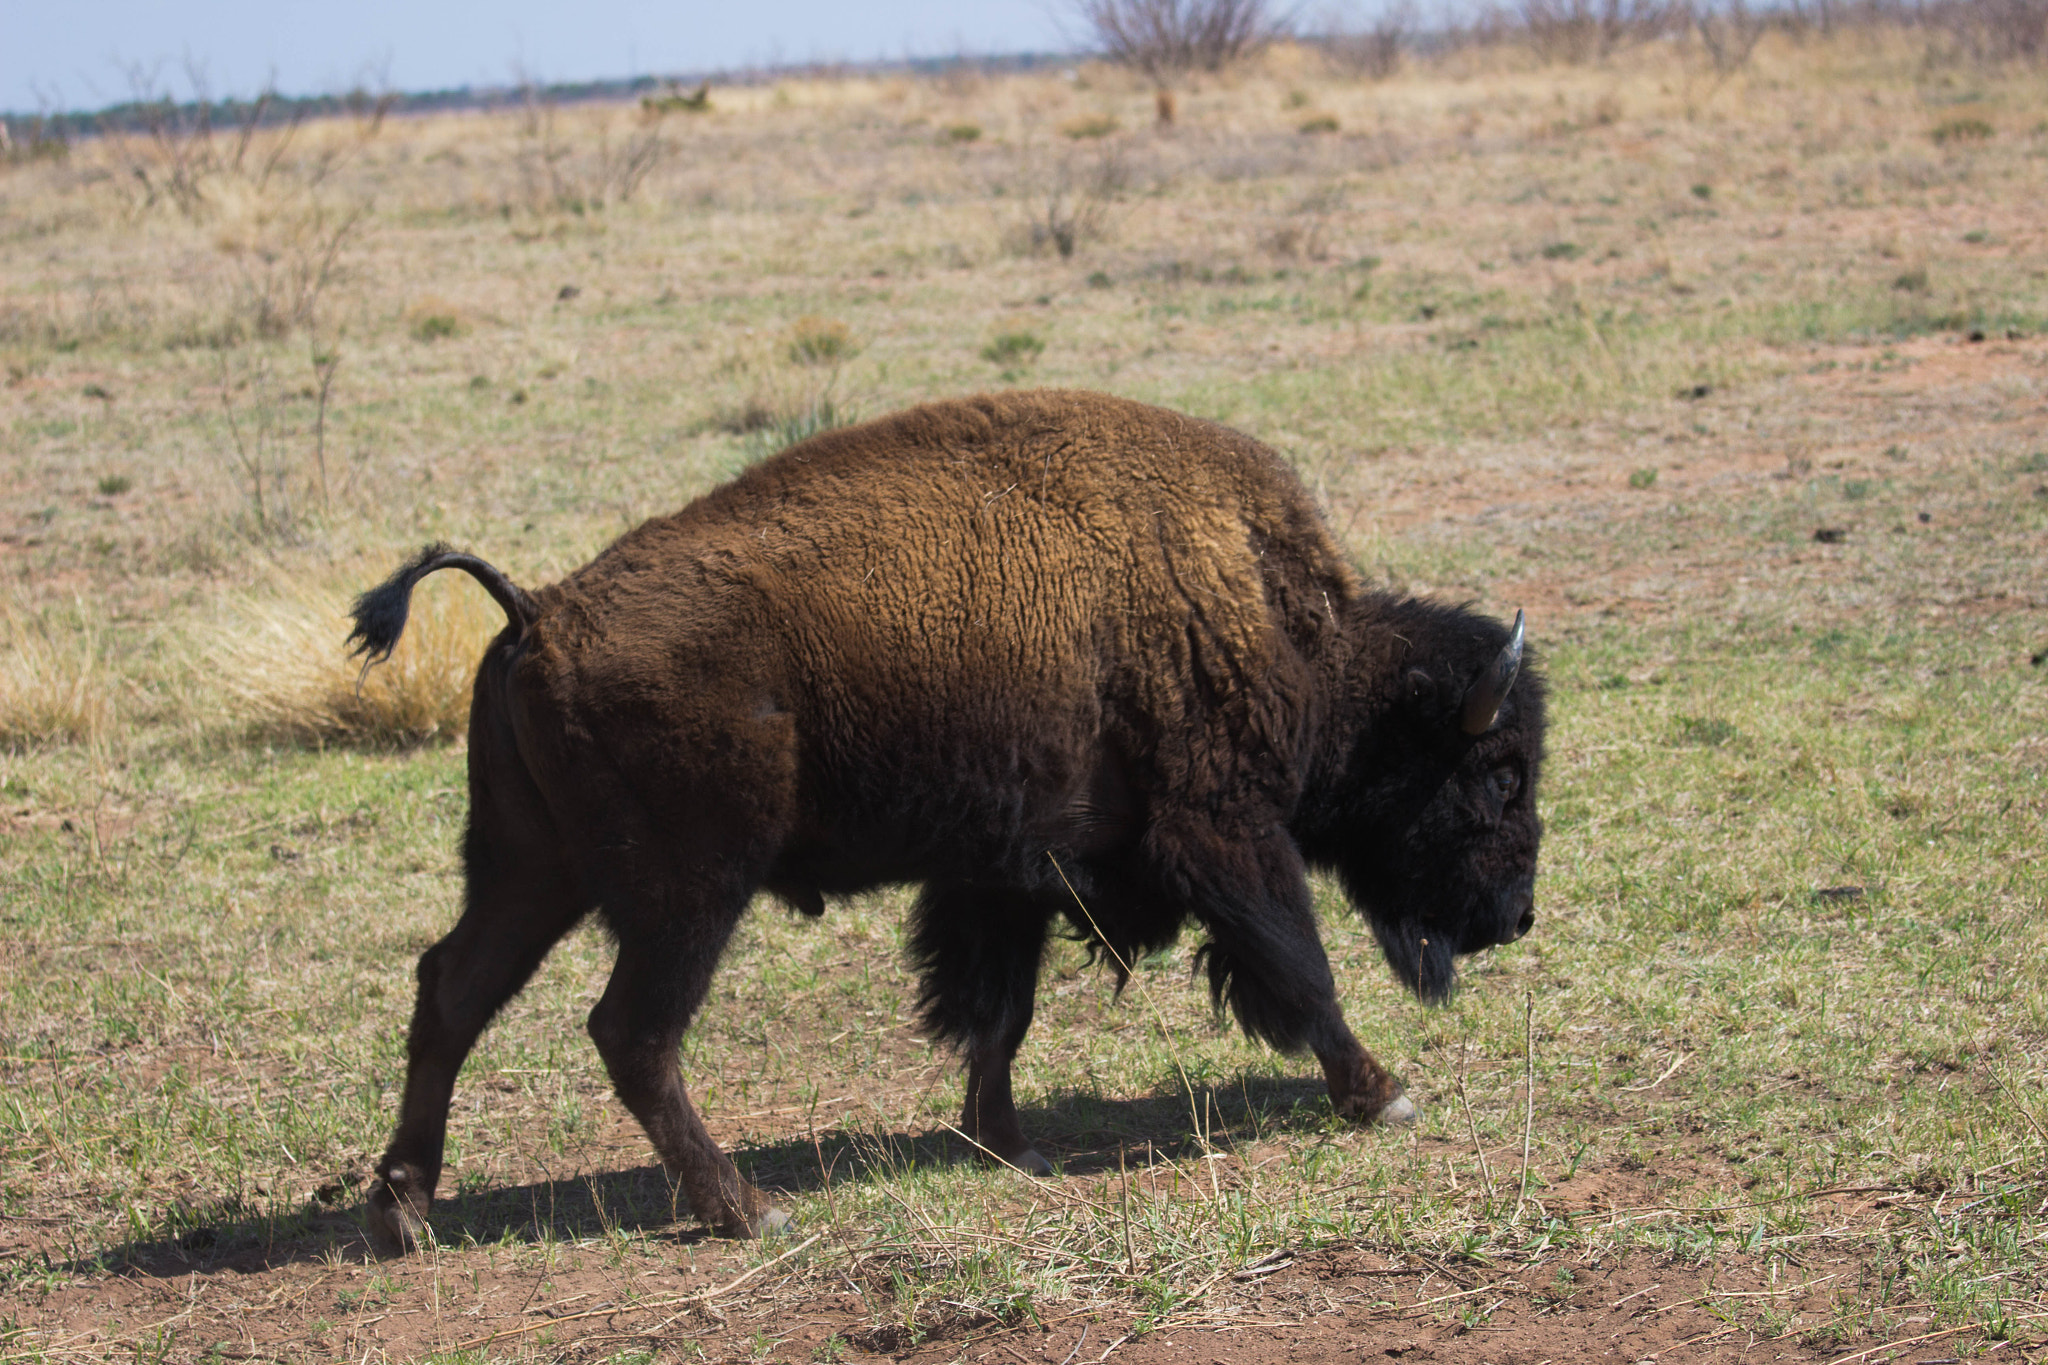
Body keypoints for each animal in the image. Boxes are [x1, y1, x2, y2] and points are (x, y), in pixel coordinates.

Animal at [352, 388, 1540, 1244]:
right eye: (1495, 774)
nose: (1518, 914)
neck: (1287, 629)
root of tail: (539, 610)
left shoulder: (1008, 873)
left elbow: (998, 1012)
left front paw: (1005, 1142)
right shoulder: (1221, 834)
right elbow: (1301, 971)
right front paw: (1382, 1094)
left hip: (529, 868)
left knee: (452, 991)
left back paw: (404, 1211)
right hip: (685, 890)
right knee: (631, 1032)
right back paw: (745, 1210)